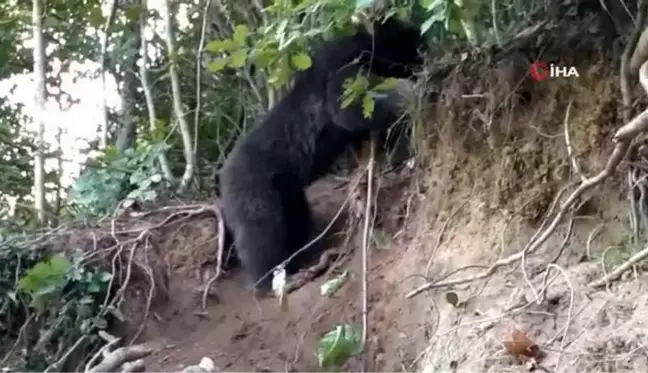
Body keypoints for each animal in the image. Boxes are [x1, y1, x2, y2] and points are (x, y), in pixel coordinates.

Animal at [220, 14, 428, 292]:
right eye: (416, 41)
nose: (428, 48)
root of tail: (221, 181)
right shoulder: (341, 72)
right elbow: (347, 105)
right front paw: (407, 94)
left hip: (287, 191)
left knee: (296, 220)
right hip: (253, 190)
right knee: (261, 233)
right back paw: (275, 281)